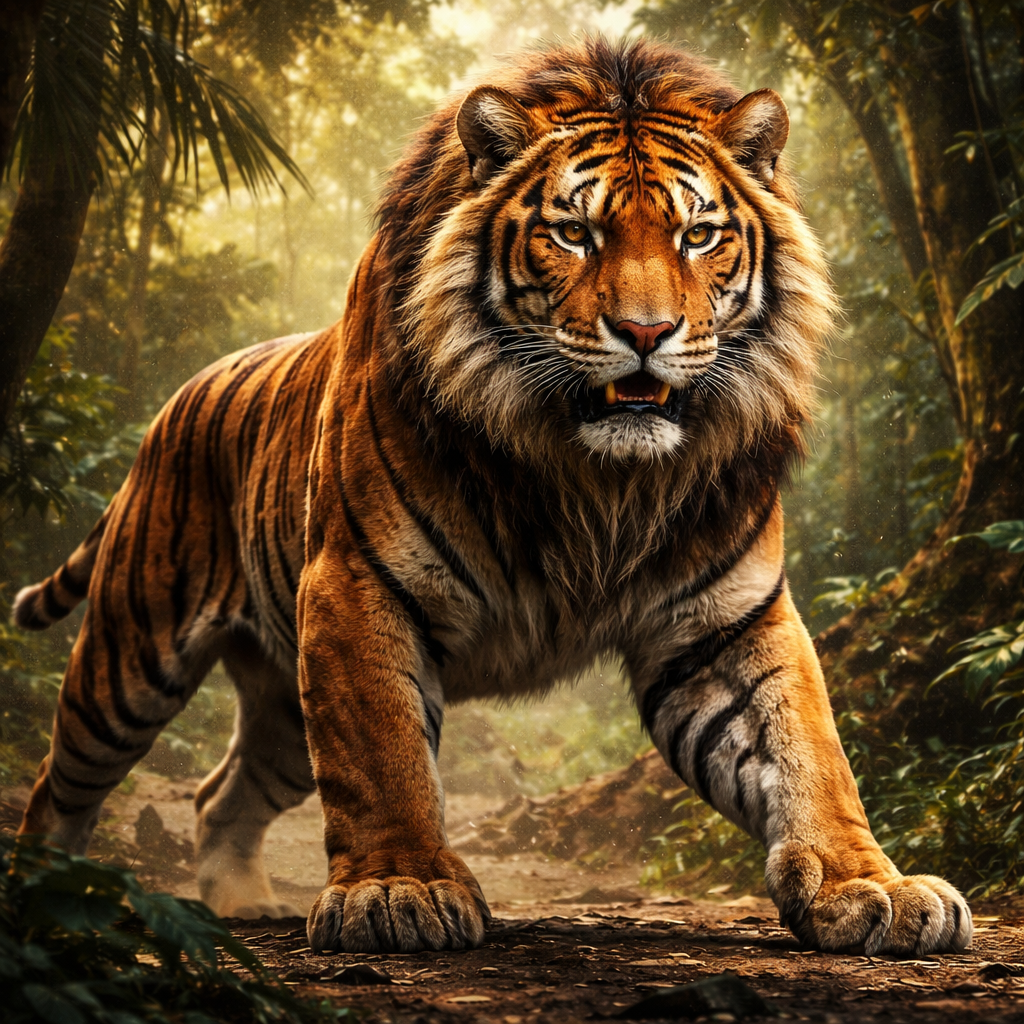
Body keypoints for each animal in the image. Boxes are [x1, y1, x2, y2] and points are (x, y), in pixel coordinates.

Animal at [13, 37, 971, 956]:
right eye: (574, 233)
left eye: (699, 235)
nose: (648, 332)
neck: (600, 482)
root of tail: (177, 398)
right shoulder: (357, 588)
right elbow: (385, 757)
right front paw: (397, 888)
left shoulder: (729, 621)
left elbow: (809, 749)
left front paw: (869, 887)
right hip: (129, 662)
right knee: (58, 785)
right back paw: (49, 899)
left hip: (282, 704)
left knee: (221, 795)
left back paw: (242, 906)